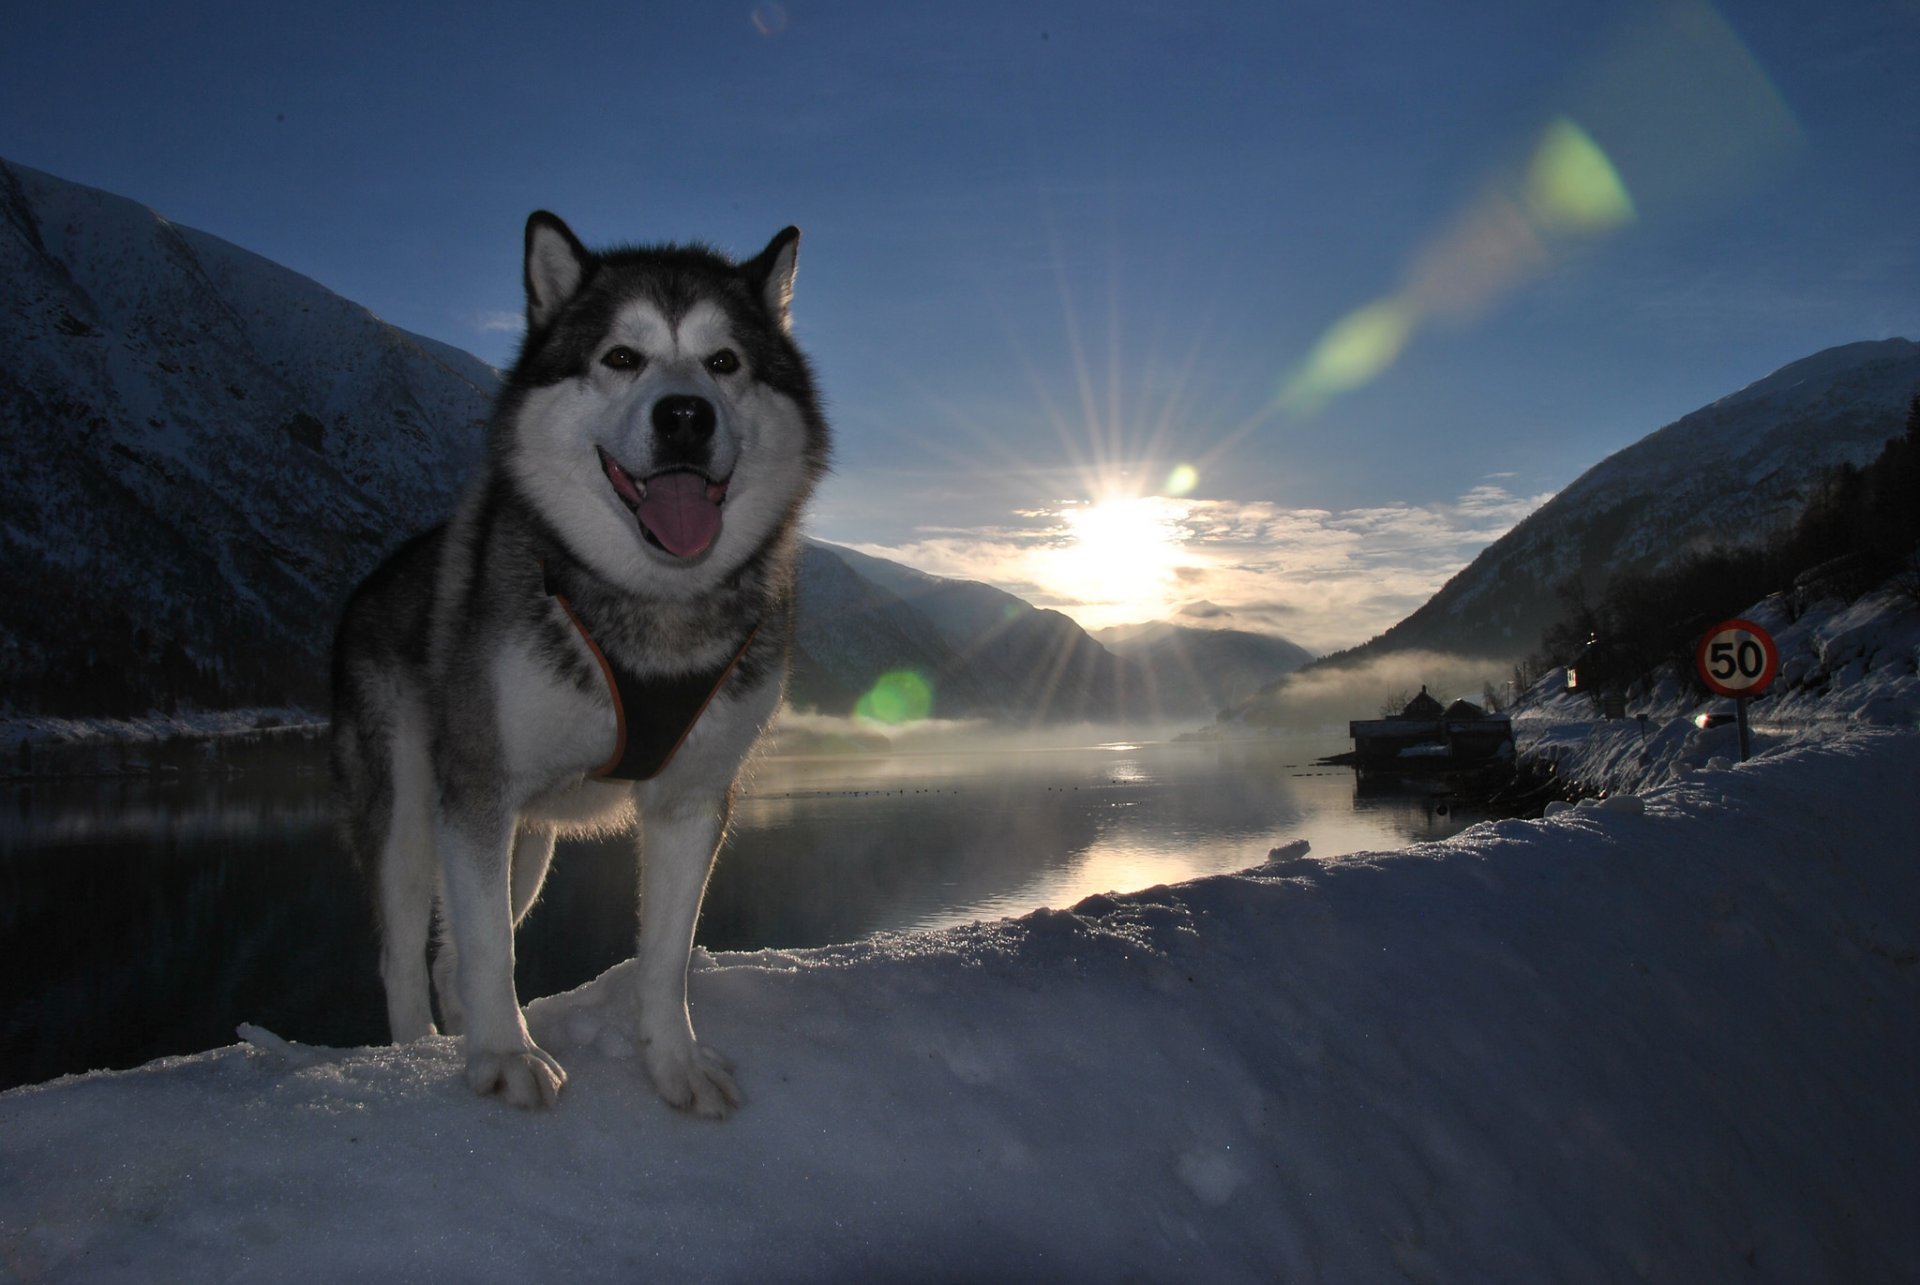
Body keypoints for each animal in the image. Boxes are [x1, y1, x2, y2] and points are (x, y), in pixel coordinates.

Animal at [334, 213, 829, 1114]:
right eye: (621, 356)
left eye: (724, 362)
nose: (684, 415)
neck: (650, 603)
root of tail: (370, 587)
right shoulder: (479, 788)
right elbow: (491, 950)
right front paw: (505, 1057)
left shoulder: (692, 797)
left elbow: (664, 958)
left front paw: (673, 1062)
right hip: (411, 812)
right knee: (406, 952)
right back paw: (421, 1052)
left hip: (526, 844)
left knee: (453, 952)